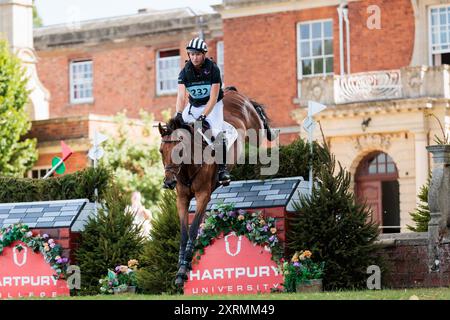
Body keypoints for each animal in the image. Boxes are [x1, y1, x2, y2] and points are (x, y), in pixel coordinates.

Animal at [158, 87, 278, 288]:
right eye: (161, 151)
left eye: (180, 151)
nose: (169, 182)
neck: (188, 167)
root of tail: (232, 92)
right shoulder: (182, 199)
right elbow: (183, 233)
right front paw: (180, 268)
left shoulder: (203, 196)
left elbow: (193, 229)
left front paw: (184, 269)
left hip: (255, 128)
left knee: (261, 126)